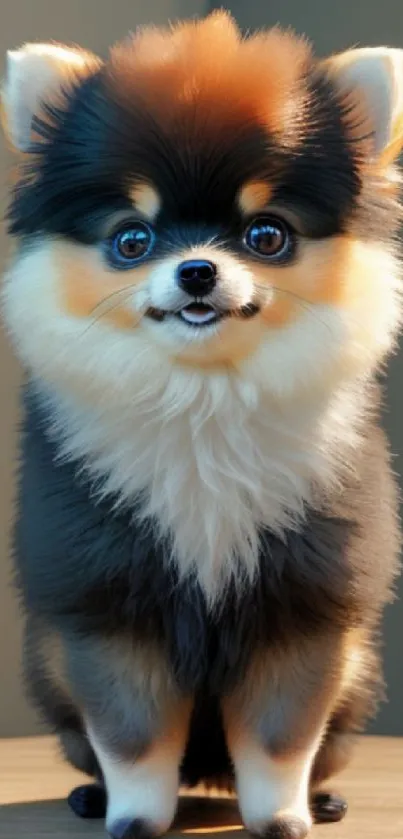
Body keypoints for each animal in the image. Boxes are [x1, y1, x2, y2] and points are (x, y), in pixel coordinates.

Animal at [1, 11, 402, 839]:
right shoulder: (109, 607)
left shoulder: (302, 607)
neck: (204, 399)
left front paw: (281, 815)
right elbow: (131, 735)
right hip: (50, 668)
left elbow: (283, 735)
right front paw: (133, 816)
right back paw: (89, 797)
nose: (196, 270)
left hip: (359, 674)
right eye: (132, 238)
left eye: (265, 235)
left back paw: (325, 798)